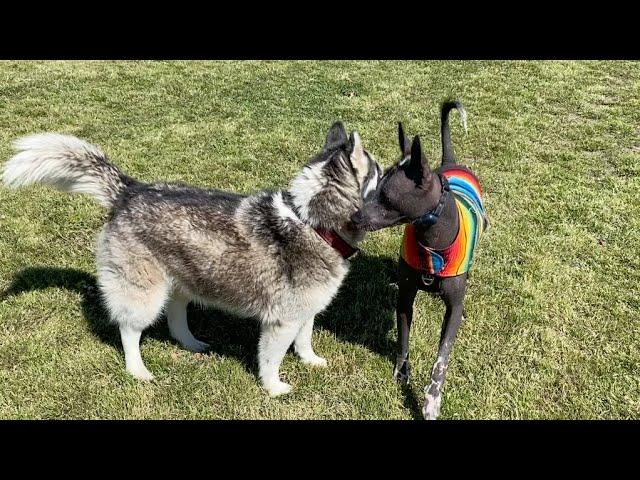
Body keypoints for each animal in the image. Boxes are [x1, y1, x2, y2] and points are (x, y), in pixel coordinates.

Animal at [2, 122, 382, 396]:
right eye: (378, 171)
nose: (394, 173)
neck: (311, 223)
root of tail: (130, 190)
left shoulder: (304, 311)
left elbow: (304, 339)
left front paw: (310, 360)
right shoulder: (281, 320)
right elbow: (271, 357)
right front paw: (274, 388)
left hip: (183, 279)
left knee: (175, 316)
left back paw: (190, 342)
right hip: (143, 292)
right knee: (129, 329)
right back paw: (137, 369)